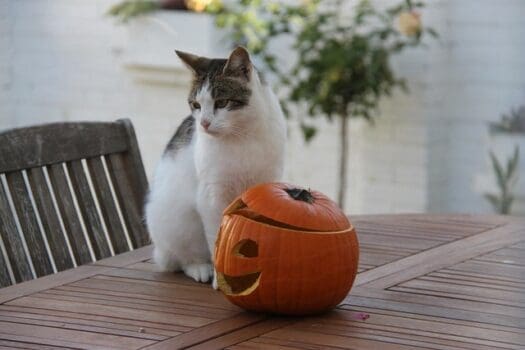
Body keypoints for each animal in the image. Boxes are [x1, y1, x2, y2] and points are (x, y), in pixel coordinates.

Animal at [144, 47, 286, 286]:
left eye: (222, 102)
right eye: (196, 105)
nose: (204, 123)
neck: (242, 136)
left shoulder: (268, 184)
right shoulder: (211, 197)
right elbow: (217, 238)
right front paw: (221, 280)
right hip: (177, 222)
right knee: (180, 260)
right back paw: (200, 268)